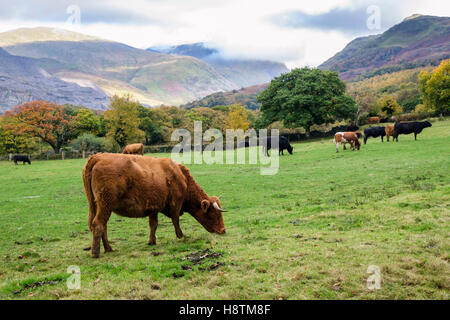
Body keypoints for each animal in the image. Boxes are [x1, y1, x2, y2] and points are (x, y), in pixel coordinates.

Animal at [82, 152, 227, 258]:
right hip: (105, 205)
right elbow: (175, 220)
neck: (182, 178)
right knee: (98, 224)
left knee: (102, 226)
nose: (223, 230)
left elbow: (154, 224)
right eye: (215, 214)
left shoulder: (154, 207)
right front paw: (181, 236)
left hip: (97, 206)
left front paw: (152, 241)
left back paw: (108, 248)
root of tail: (98, 157)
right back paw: (96, 253)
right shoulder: (176, 204)